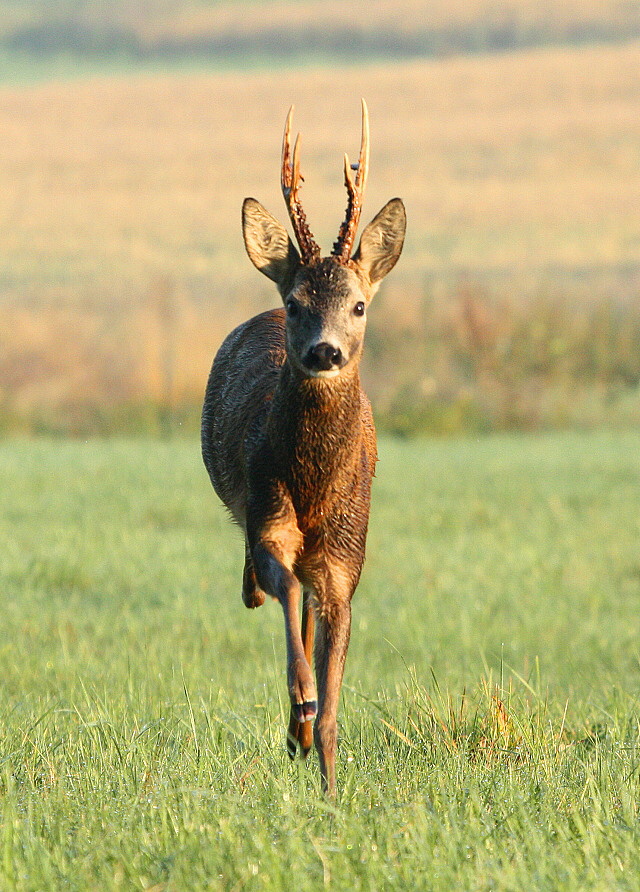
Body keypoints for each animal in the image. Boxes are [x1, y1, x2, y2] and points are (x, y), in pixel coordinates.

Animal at [201, 101, 405, 795]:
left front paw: (332, 785)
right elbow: (286, 593)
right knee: (270, 591)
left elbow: (338, 686)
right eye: (296, 303)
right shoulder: (268, 515)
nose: (324, 351)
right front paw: (300, 706)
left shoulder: (347, 560)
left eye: (360, 305)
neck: (314, 486)